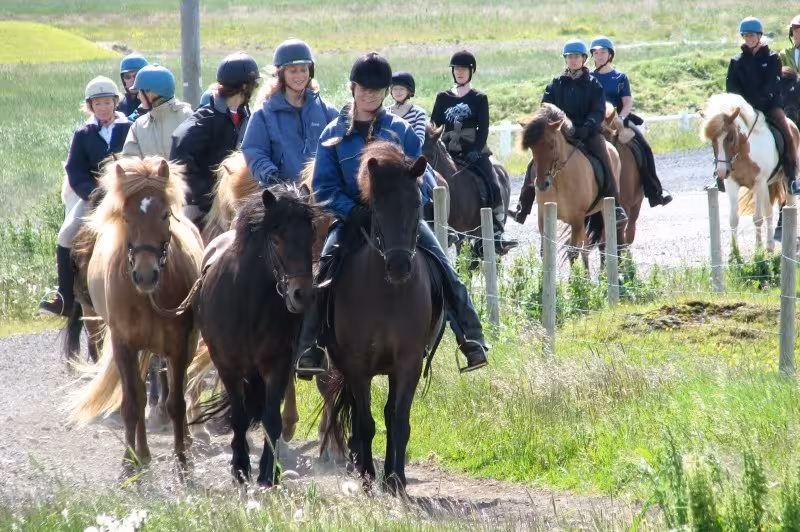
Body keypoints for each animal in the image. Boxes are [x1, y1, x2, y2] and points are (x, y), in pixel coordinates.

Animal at [66, 157, 204, 473]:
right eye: (126, 217)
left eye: (165, 215)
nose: (145, 275)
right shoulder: (124, 346)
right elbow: (132, 403)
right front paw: (130, 458)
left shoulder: (179, 346)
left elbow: (175, 401)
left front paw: (182, 456)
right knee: (139, 393)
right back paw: (142, 451)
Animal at [192, 184, 317, 486]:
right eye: (276, 240)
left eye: (311, 236)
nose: (302, 294)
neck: (248, 302)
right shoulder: (227, 365)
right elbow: (238, 416)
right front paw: (240, 467)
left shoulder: (278, 363)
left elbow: (271, 418)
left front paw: (268, 472)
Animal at [322, 141, 444, 494]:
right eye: (375, 208)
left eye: (417, 204)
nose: (400, 266)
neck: (388, 294)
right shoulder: (357, 365)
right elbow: (365, 423)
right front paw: (367, 477)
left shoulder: (408, 363)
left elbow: (399, 420)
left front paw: (396, 480)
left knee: (390, 414)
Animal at [519, 103, 622, 270]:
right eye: (532, 148)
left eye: (551, 145)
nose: (542, 184)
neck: (559, 180)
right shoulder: (544, 216)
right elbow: (545, 252)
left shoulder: (576, 219)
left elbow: (572, 252)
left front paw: (576, 278)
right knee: (586, 247)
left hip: (603, 210)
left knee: (601, 244)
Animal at [700, 93, 794, 251]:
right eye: (712, 140)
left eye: (731, 137)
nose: (721, 172)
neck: (743, 153)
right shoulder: (732, 184)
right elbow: (734, 218)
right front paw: (734, 251)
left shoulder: (759, 183)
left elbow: (759, 217)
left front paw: (761, 249)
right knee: (769, 210)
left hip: (783, 182)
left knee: (789, 206)